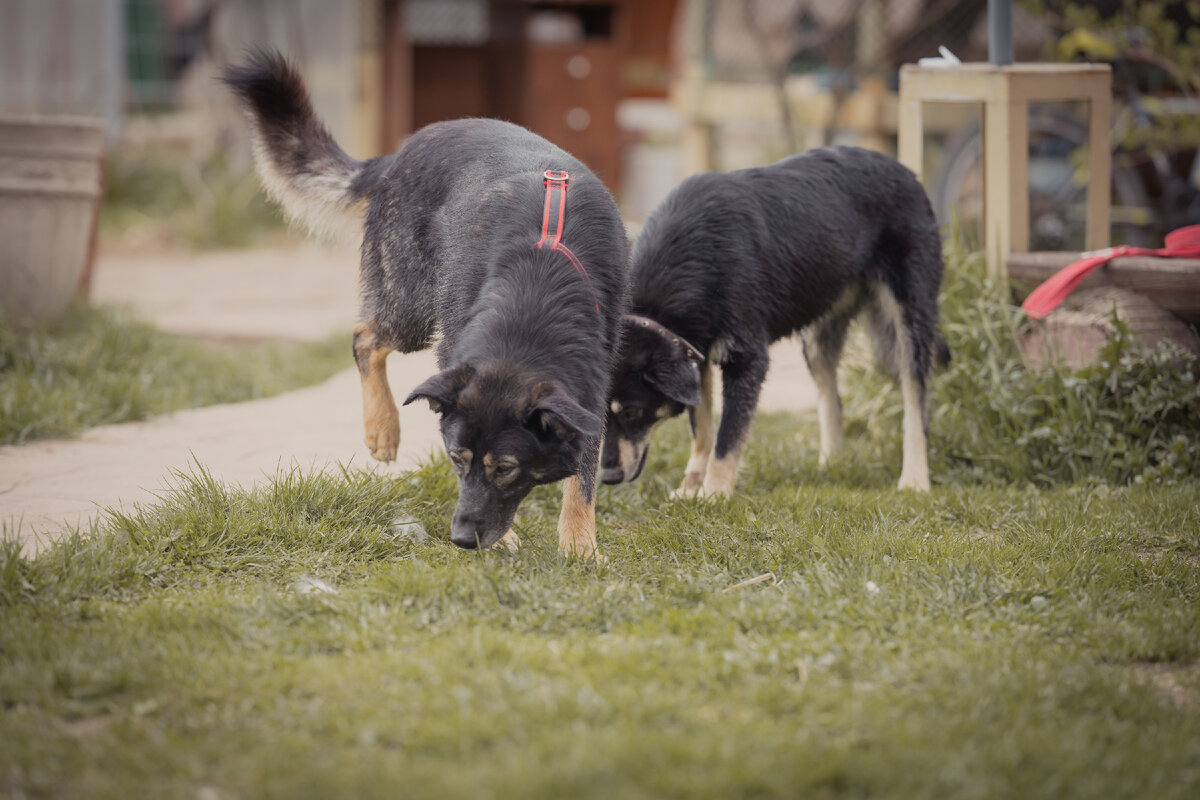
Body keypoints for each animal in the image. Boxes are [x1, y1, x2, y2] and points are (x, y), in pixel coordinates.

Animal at [228, 50, 633, 561]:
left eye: (506, 468)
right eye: (456, 461)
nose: (461, 540)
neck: (535, 291)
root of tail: (398, 154)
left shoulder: (588, 392)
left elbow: (582, 478)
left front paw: (579, 546)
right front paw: (522, 539)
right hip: (412, 311)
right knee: (364, 337)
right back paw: (382, 428)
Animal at [600, 143, 945, 494]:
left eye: (632, 412)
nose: (608, 478)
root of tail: (903, 169)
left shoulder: (747, 360)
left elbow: (727, 438)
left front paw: (714, 493)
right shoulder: (695, 353)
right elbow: (703, 431)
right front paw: (690, 488)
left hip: (909, 323)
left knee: (916, 402)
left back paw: (914, 479)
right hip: (817, 337)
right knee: (831, 399)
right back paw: (831, 465)